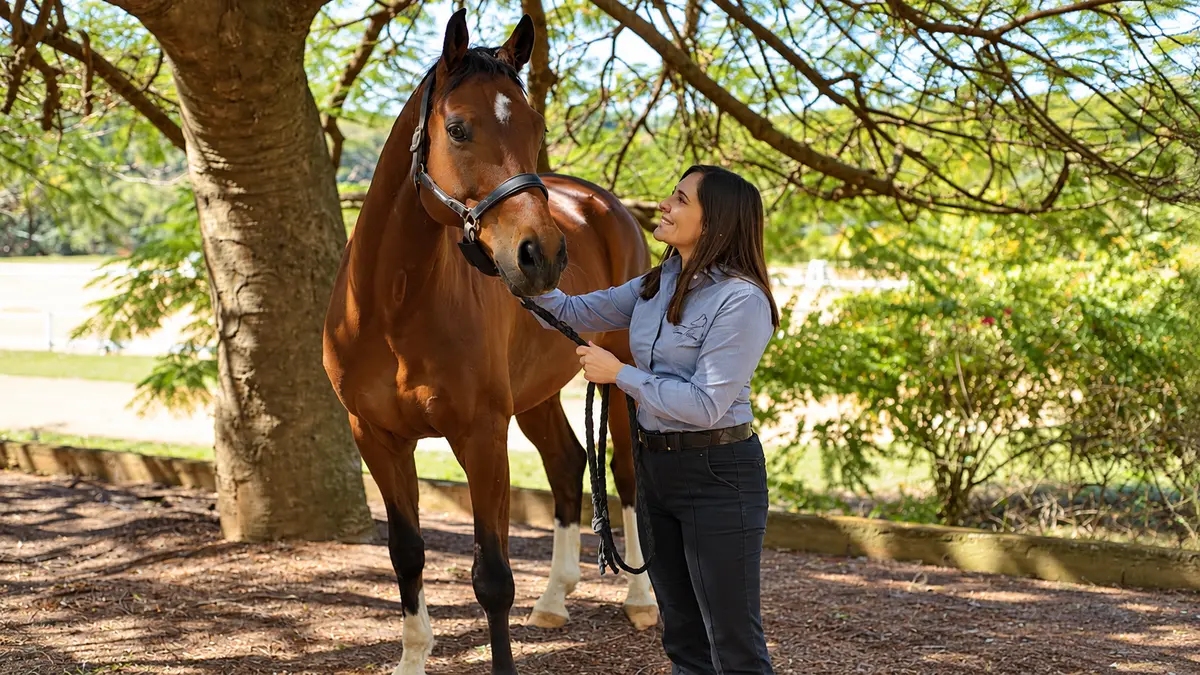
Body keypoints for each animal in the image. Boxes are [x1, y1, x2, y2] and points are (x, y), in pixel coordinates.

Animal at [322, 10, 655, 674]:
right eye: (457, 128)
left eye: (534, 127)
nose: (541, 255)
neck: (392, 308)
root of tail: (601, 203)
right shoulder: (377, 437)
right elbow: (407, 553)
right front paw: (413, 658)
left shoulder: (481, 435)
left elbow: (493, 577)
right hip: (537, 393)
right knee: (566, 463)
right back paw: (553, 602)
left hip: (619, 375)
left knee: (625, 474)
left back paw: (640, 601)